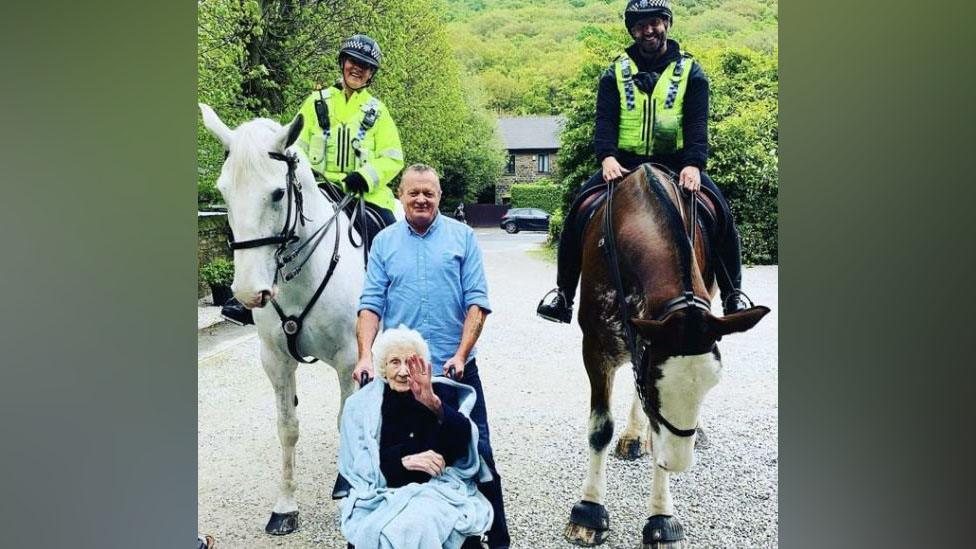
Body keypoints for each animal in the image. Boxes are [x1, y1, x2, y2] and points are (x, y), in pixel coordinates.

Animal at [198, 104, 400, 536]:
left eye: (277, 193)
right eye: (223, 192)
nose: (247, 291)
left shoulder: (347, 358)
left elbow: (344, 416)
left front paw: (346, 484)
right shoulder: (275, 361)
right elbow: (287, 428)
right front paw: (285, 507)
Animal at [564, 165, 772, 548]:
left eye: (711, 386)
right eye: (653, 384)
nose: (677, 462)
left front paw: (661, 518)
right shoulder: (596, 346)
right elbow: (600, 428)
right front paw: (589, 511)